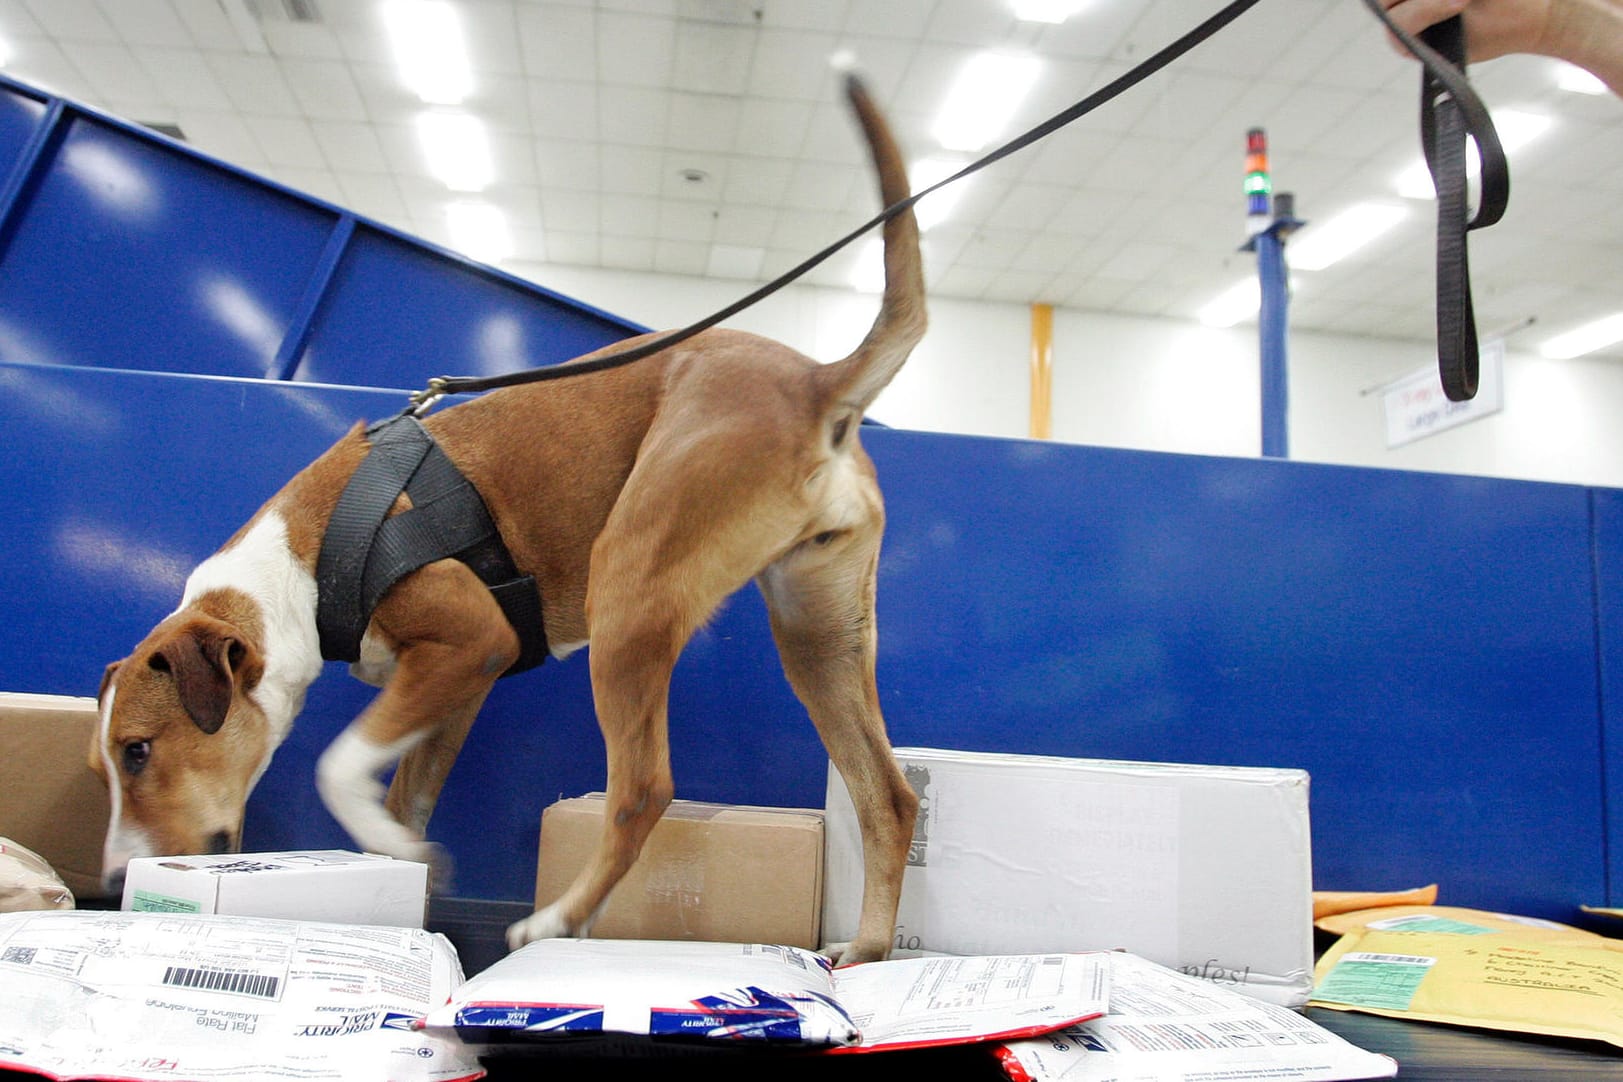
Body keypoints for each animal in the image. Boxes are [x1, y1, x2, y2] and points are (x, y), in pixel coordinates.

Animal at [88, 76, 928, 966]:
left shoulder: (470, 638)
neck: (303, 560)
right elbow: (403, 791)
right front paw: (400, 865)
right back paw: (868, 948)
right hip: (818, 640)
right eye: (104, 767)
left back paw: (557, 921)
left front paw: (386, 844)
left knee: (643, 789)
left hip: (627, 593)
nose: (108, 883)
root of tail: (814, 382)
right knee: (886, 797)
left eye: (138, 751)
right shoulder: (455, 684)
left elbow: (337, 766)